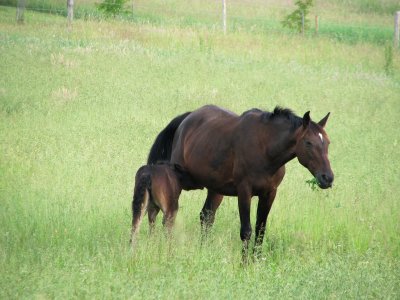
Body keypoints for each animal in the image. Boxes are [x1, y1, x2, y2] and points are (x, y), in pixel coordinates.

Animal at [147, 105, 334, 258]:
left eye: (327, 142)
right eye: (308, 143)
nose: (328, 178)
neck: (265, 149)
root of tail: (187, 118)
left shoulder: (269, 194)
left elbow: (260, 229)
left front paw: (256, 261)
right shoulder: (244, 192)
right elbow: (246, 231)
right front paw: (244, 264)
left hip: (215, 190)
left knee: (206, 216)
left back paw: (203, 249)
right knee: (165, 217)